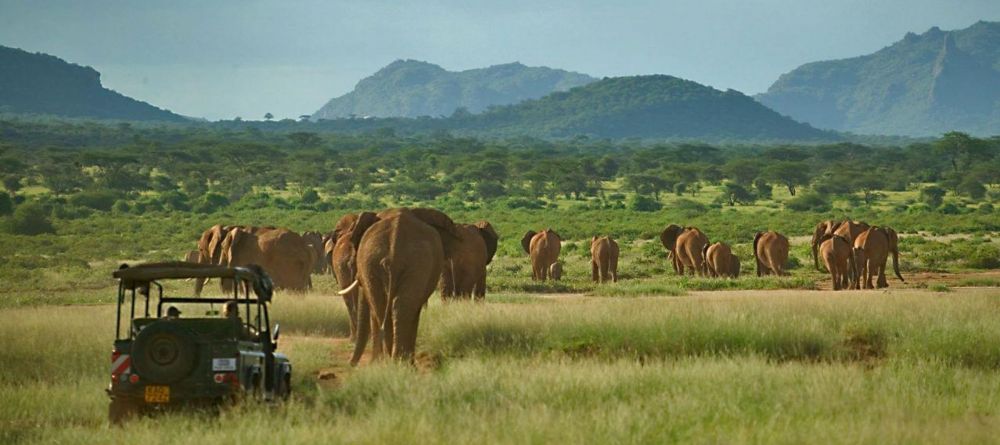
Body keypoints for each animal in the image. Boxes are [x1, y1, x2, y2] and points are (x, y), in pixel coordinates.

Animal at [338, 208, 461, 364]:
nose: (350, 364)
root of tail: (394, 249)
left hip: (403, 263)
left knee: (390, 307)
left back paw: (395, 362)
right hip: (380, 262)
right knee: (394, 307)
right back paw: (396, 362)